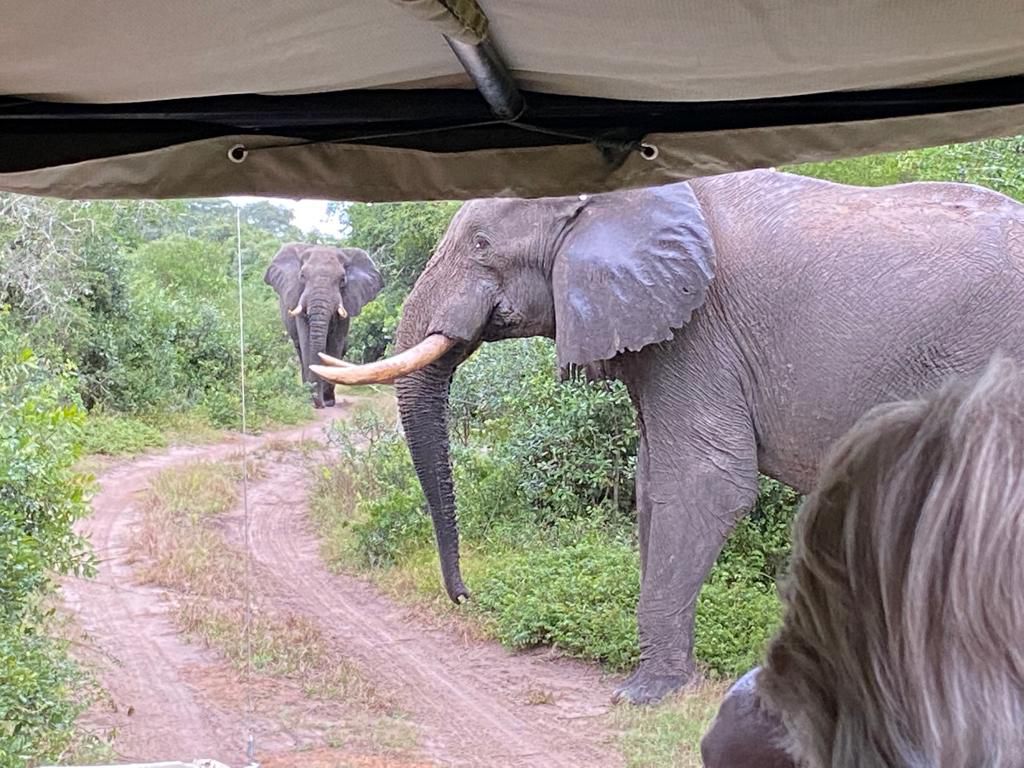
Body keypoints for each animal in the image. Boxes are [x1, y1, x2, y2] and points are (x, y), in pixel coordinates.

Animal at [264, 244, 385, 409]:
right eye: (302, 276)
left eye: (342, 280)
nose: (319, 405)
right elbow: (307, 342)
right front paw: (312, 399)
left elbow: (335, 344)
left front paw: (328, 401)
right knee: (300, 350)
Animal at [309, 171, 1024, 708]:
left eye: (482, 243)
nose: (465, 597)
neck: (612, 198)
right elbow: (654, 484)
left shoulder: (701, 328)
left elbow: (704, 483)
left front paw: (643, 696)